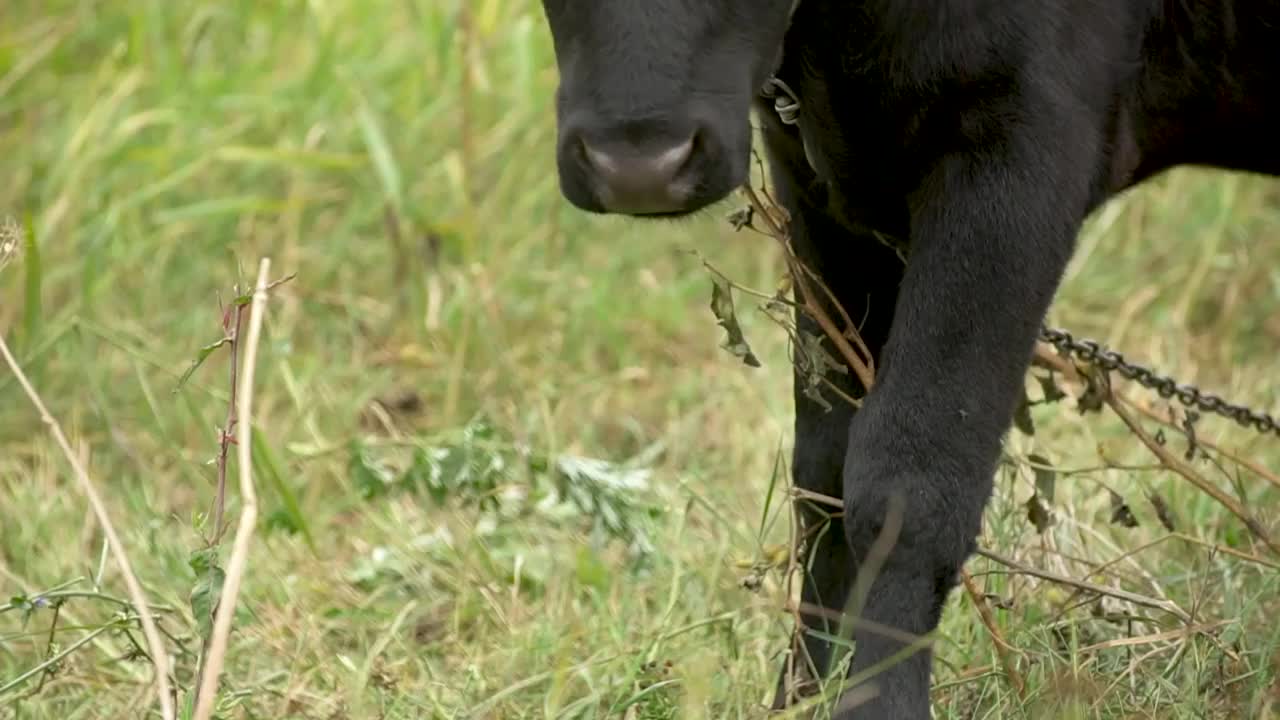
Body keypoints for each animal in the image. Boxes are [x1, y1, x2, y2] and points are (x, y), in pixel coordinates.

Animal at [532, 2, 1280, 712]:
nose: (638, 168)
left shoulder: (1018, 156)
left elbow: (910, 480)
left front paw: (874, 702)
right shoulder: (811, 176)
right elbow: (824, 469)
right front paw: (800, 697)